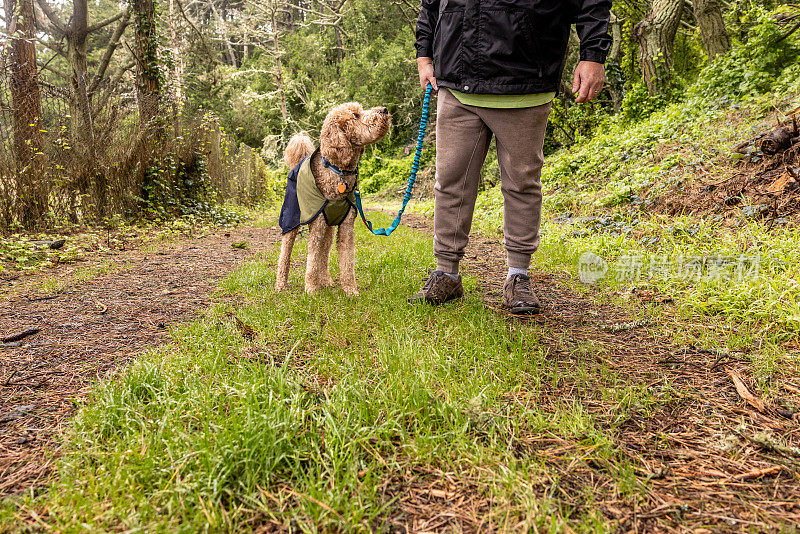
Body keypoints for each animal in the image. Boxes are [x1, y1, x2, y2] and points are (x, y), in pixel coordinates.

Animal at [276, 103, 390, 298]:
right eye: (356, 115)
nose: (384, 109)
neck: (338, 172)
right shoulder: (317, 226)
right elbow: (312, 260)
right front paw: (311, 290)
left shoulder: (347, 226)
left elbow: (347, 261)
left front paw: (350, 290)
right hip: (292, 220)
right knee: (285, 252)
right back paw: (280, 285)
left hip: (328, 228)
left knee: (325, 253)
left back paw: (326, 280)